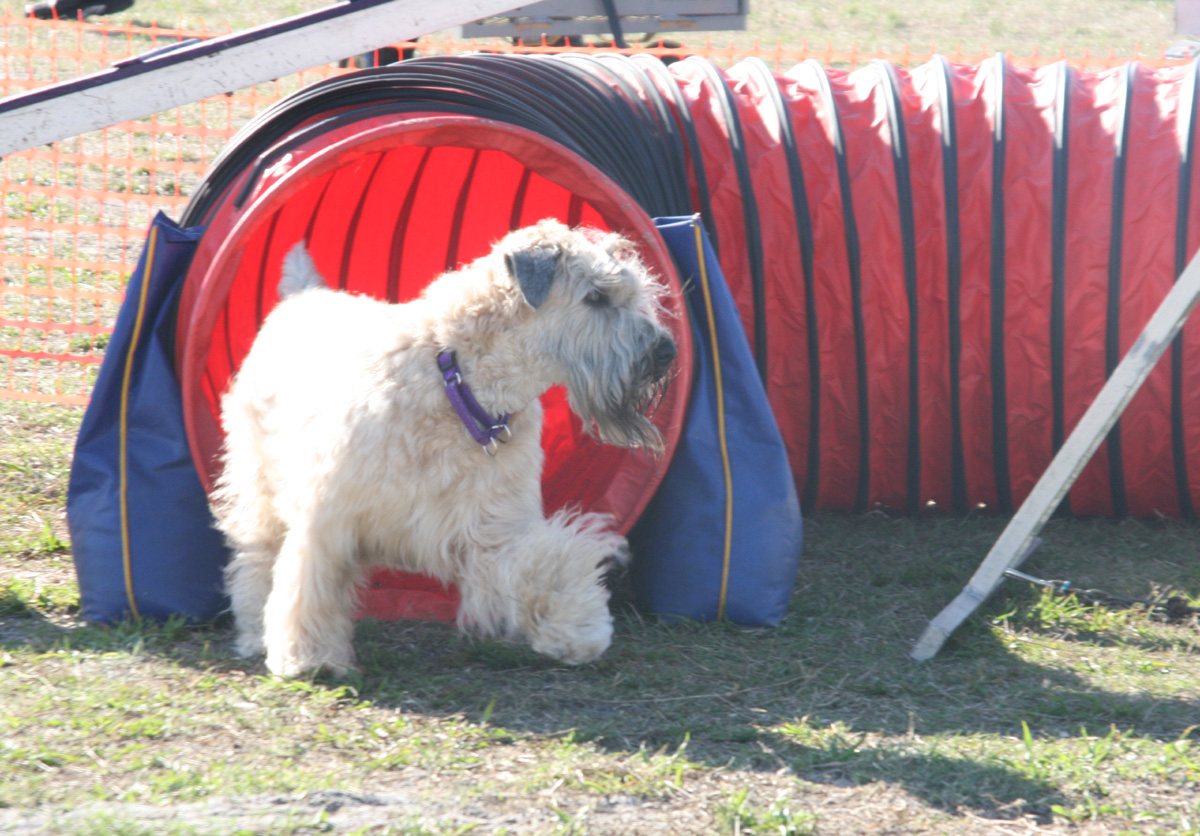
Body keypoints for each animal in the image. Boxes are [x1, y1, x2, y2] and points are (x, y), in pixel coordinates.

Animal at [213, 218, 676, 676]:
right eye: (596, 296)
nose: (668, 351)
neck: (458, 384)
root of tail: (301, 295)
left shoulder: (491, 527)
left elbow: (543, 566)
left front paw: (579, 628)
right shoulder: (329, 517)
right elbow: (310, 586)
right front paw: (308, 656)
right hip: (259, 483)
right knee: (255, 558)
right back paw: (253, 632)